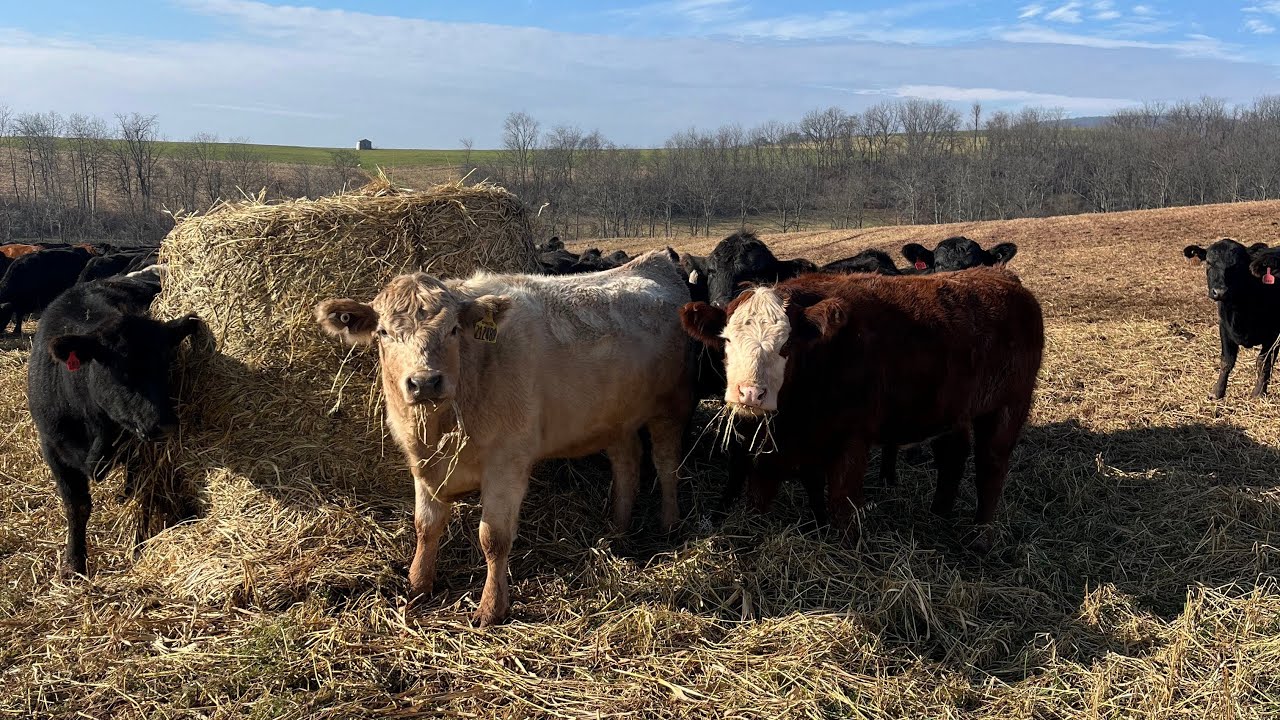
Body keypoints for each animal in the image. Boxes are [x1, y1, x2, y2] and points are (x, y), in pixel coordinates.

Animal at [27, 274, 202, 578]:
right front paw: (73, 564)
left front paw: (139, 548)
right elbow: (76, 506)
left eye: (167, 364)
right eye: (122, 370)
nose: (165, 424)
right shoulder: (52, 447)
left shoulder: (139, 452)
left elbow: (144, 495)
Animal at [314, 249, 693, 626]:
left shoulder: (507, 461)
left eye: (453, 330)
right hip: (614, 417)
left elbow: (493, 538)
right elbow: (425, 525)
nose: (425, 382)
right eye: (383, 332)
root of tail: (653, 261)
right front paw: (417, 585)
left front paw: (491, 608)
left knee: (666, 463)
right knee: (627, 462)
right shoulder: (422, 464)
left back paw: (669, 525)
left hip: (670, 406)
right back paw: (617, 527)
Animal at [679, 268, 1044, 551]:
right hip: (954, 410)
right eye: (727, 340)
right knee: (952, 455)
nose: (751, 393)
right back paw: (939, 513)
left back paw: (981, 537)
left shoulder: (851, 439)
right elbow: (764, 494)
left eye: (786, 344)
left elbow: (842, 503)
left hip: (1008, 406)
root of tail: (1002, 277)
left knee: (990, 467)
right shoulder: (776, 445)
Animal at [1184, 239, 1280, 399]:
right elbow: (1226, 361)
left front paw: (1258, 393)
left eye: (1237, 265)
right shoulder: (1224, 327)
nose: (1220, 292)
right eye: (1209, 262)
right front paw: (1217, 392)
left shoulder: (1274, 334)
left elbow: (1264, 362)